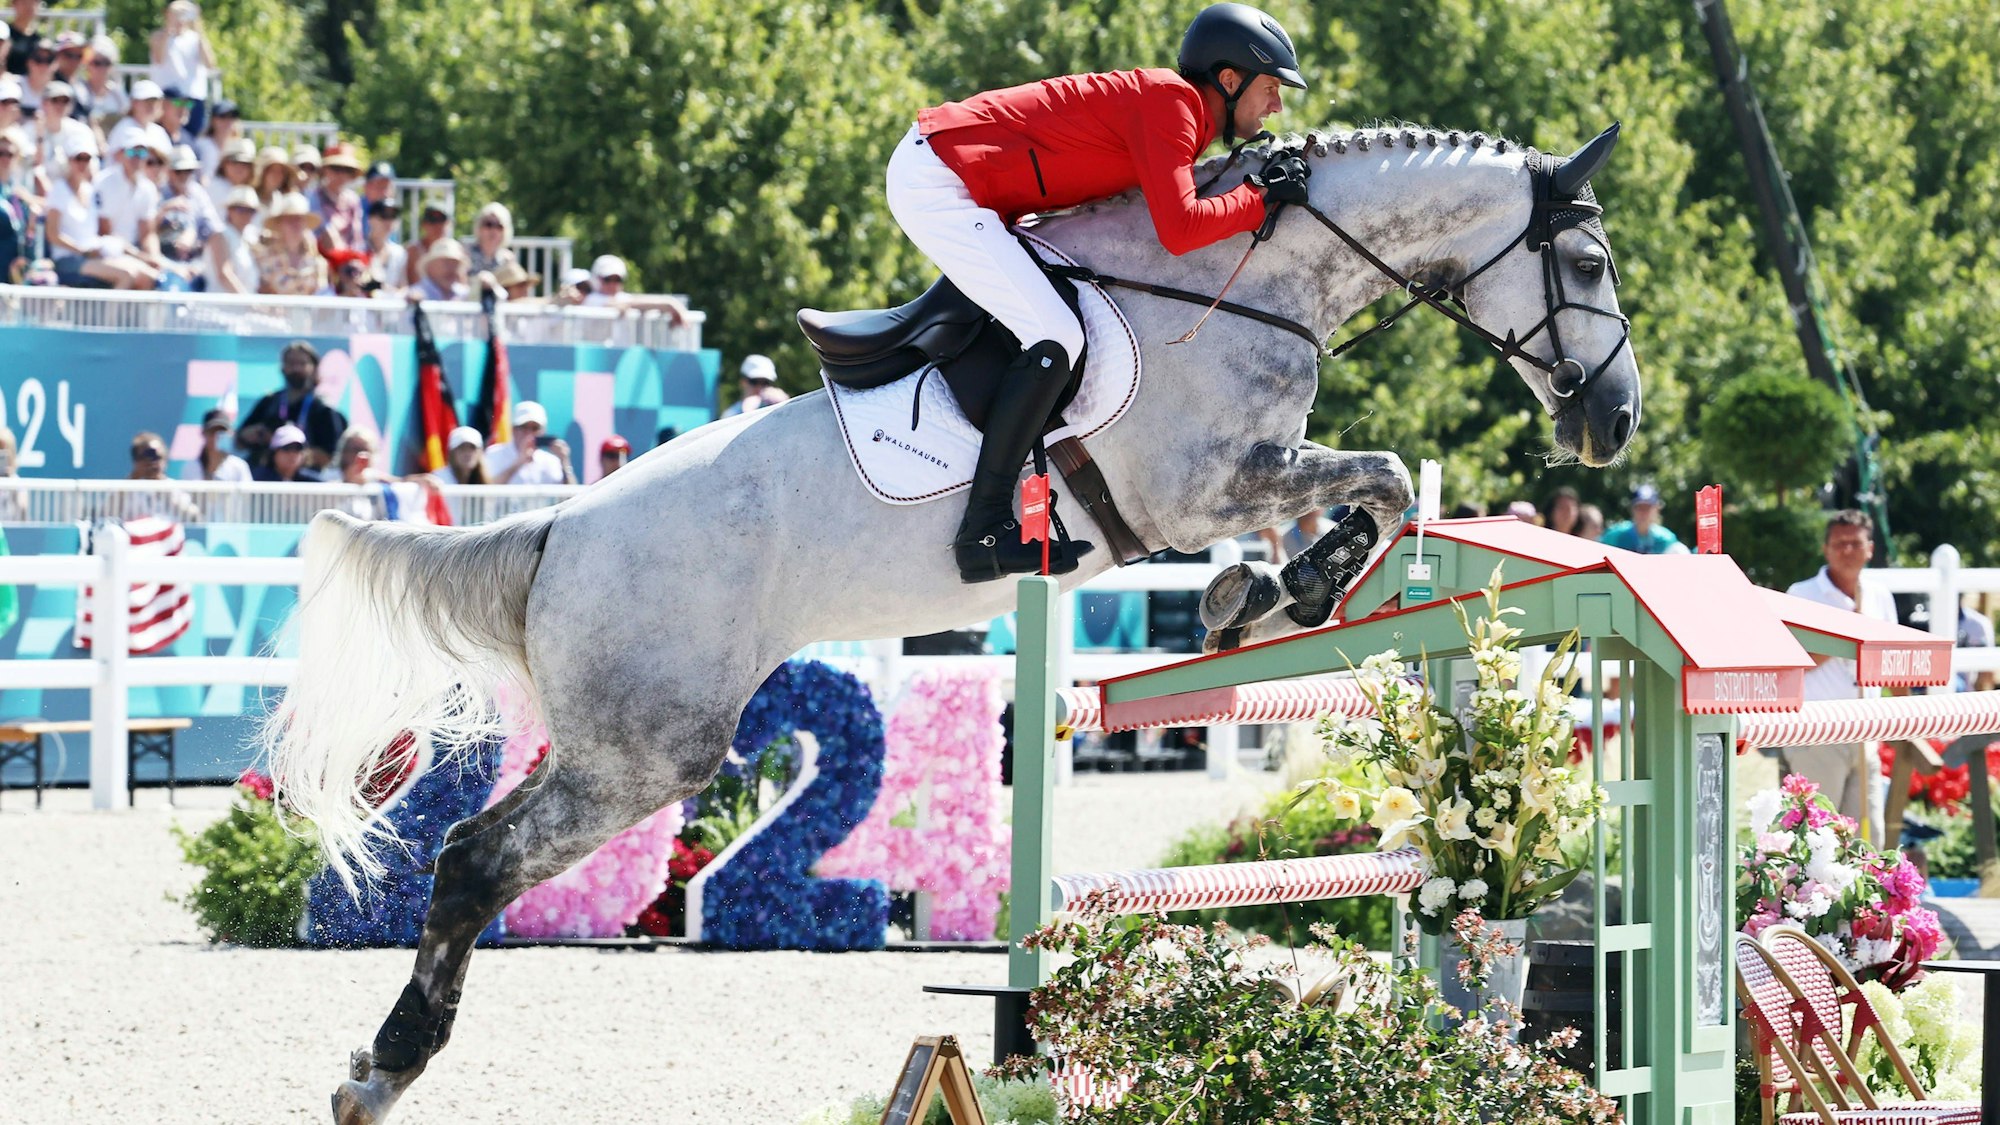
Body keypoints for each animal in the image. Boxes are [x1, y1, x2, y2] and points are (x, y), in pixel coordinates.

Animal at [272, 121, 1642, 1124]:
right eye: (1582, 268)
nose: (1612, 423)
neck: (1244, 278)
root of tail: (561, 527)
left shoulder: (1229, 484)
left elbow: (1369, 491)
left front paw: (1260, 594)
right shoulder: (1200, 485)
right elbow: (1382, 479)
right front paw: (1281, 591)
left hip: (624, 738)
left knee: (475, 857)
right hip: (646, 745)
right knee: (475, 861)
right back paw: (383, 1069)